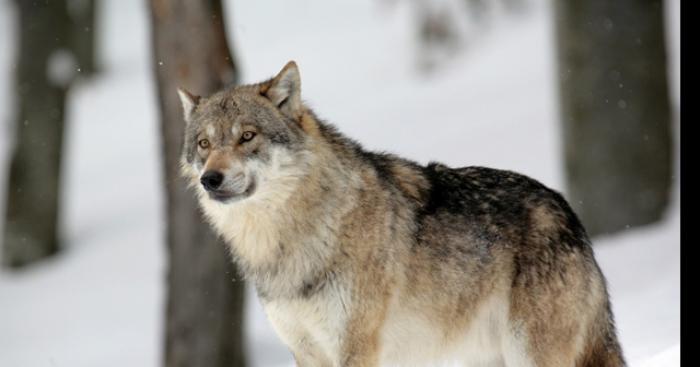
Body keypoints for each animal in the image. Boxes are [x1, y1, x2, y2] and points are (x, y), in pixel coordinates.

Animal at [178, 61, 628, 366]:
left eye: (247, 136)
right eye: (204, 143)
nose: (210, 179)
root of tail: (567, 211)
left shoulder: (356, 346)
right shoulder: (305, 352)